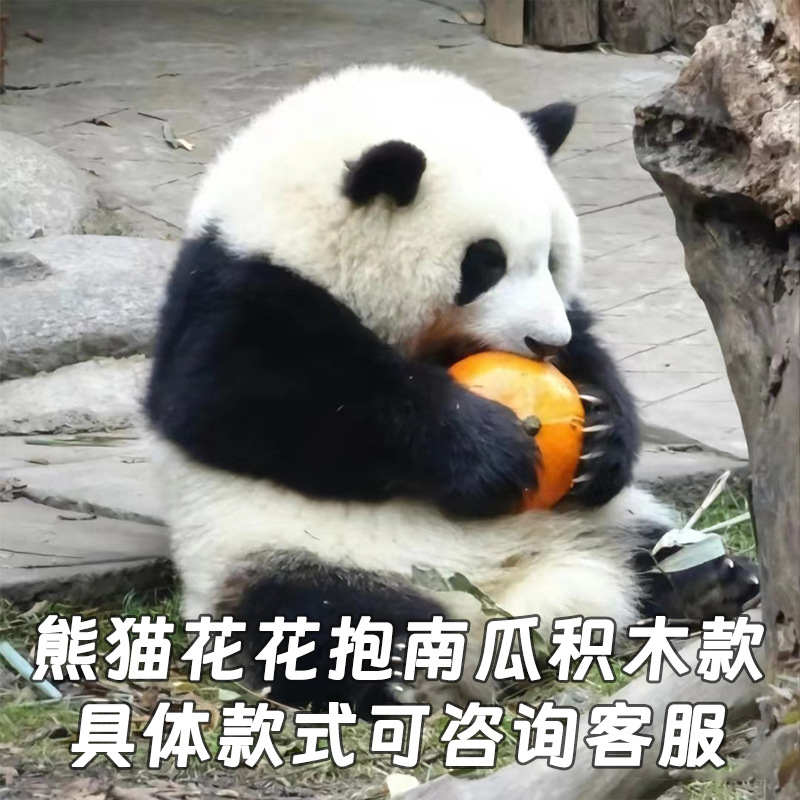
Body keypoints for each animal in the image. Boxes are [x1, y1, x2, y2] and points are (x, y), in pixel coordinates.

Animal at [145, 64, 758, 716]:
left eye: (552, 257)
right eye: (485, 263)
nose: (543, 341)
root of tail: (502, 606)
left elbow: (590, 352)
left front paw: (600, 436)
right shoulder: (236, 286)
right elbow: (235, 398)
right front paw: (491, 451)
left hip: (597, 525)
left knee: (647, 549)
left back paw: (707, 583)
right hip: (276, 552)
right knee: (315, 614)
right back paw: (395, 672)